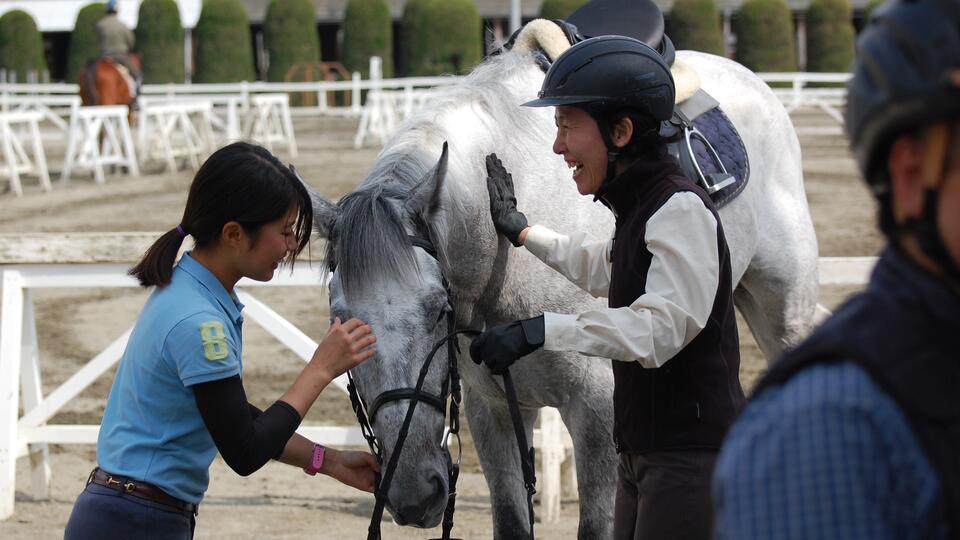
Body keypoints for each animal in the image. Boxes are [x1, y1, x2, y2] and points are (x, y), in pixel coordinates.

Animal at [310, 38, 816, 536]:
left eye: (439, 310)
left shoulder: (598, 412)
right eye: (340, 323)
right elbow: (513, 521)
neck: (506, 270)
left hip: (784, 313)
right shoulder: (493, 410)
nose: (415, 493)